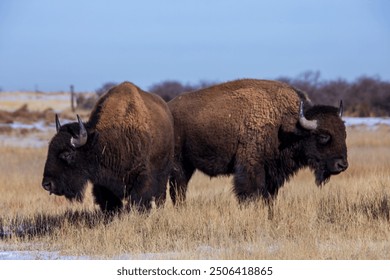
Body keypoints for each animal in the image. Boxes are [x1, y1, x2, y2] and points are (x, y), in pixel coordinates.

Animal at [41, 81, 174, 212]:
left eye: (67, 153)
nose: (47, 184)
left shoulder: (142, 176)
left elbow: (138, 200)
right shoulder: (103, 184)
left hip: (163, 172)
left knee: (160, 194)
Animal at [168, 78, 348, 203]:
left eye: (344, 133)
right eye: (323, 136)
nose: (342, 165)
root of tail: (169, 108)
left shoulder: (273, 174)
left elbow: (269, 197)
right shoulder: (250, 168)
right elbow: (250, 194)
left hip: (189, 165)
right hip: (179, 164)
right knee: (178, 190)